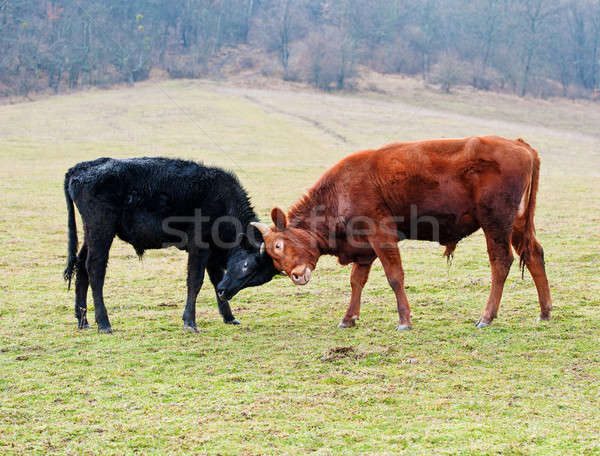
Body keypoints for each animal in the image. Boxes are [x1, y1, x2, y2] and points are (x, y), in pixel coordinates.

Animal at [252, 136, 552, 332]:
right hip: (518, 224)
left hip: (496, 224)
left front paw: (404, 320)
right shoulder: (364, 249)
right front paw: (349, 318)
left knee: (501, 262)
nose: (296, 276)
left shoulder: (382, 237)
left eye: (278, 245)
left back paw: (487, 316)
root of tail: (520, 145)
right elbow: (356, 281)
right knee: (534, 254)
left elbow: (395, 277)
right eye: (273, 256)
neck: (340, 190)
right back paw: (545, 311)